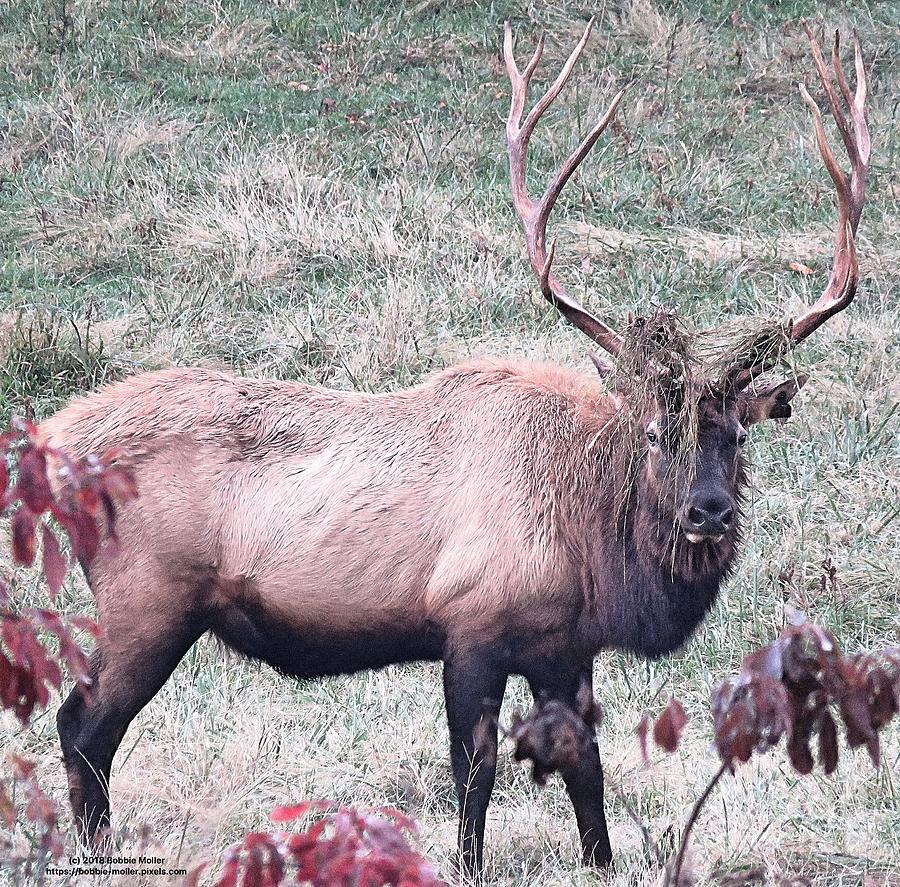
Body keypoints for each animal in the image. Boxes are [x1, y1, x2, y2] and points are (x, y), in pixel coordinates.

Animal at [44, 20, 872, 880]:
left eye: (738, 433)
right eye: (653, 433)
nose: (707, 511)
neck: (591, 544)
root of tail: (55, 439)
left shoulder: (564, 645)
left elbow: (584, 763)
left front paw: (601, 859)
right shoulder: (471, 622)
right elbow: (474, 766)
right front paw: (468, 861)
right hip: (147, 602)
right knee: (83, 726)